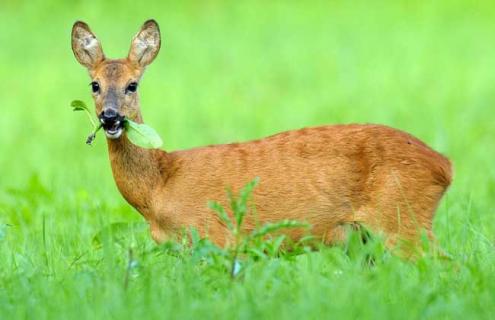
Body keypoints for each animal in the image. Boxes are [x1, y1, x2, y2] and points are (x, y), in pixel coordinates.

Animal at [70, 19, 454, 255]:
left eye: (132, 85)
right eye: (95, 85)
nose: (110, 117)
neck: (159, 188)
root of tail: (444, 166)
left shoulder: (214, 238)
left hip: (402, 220)